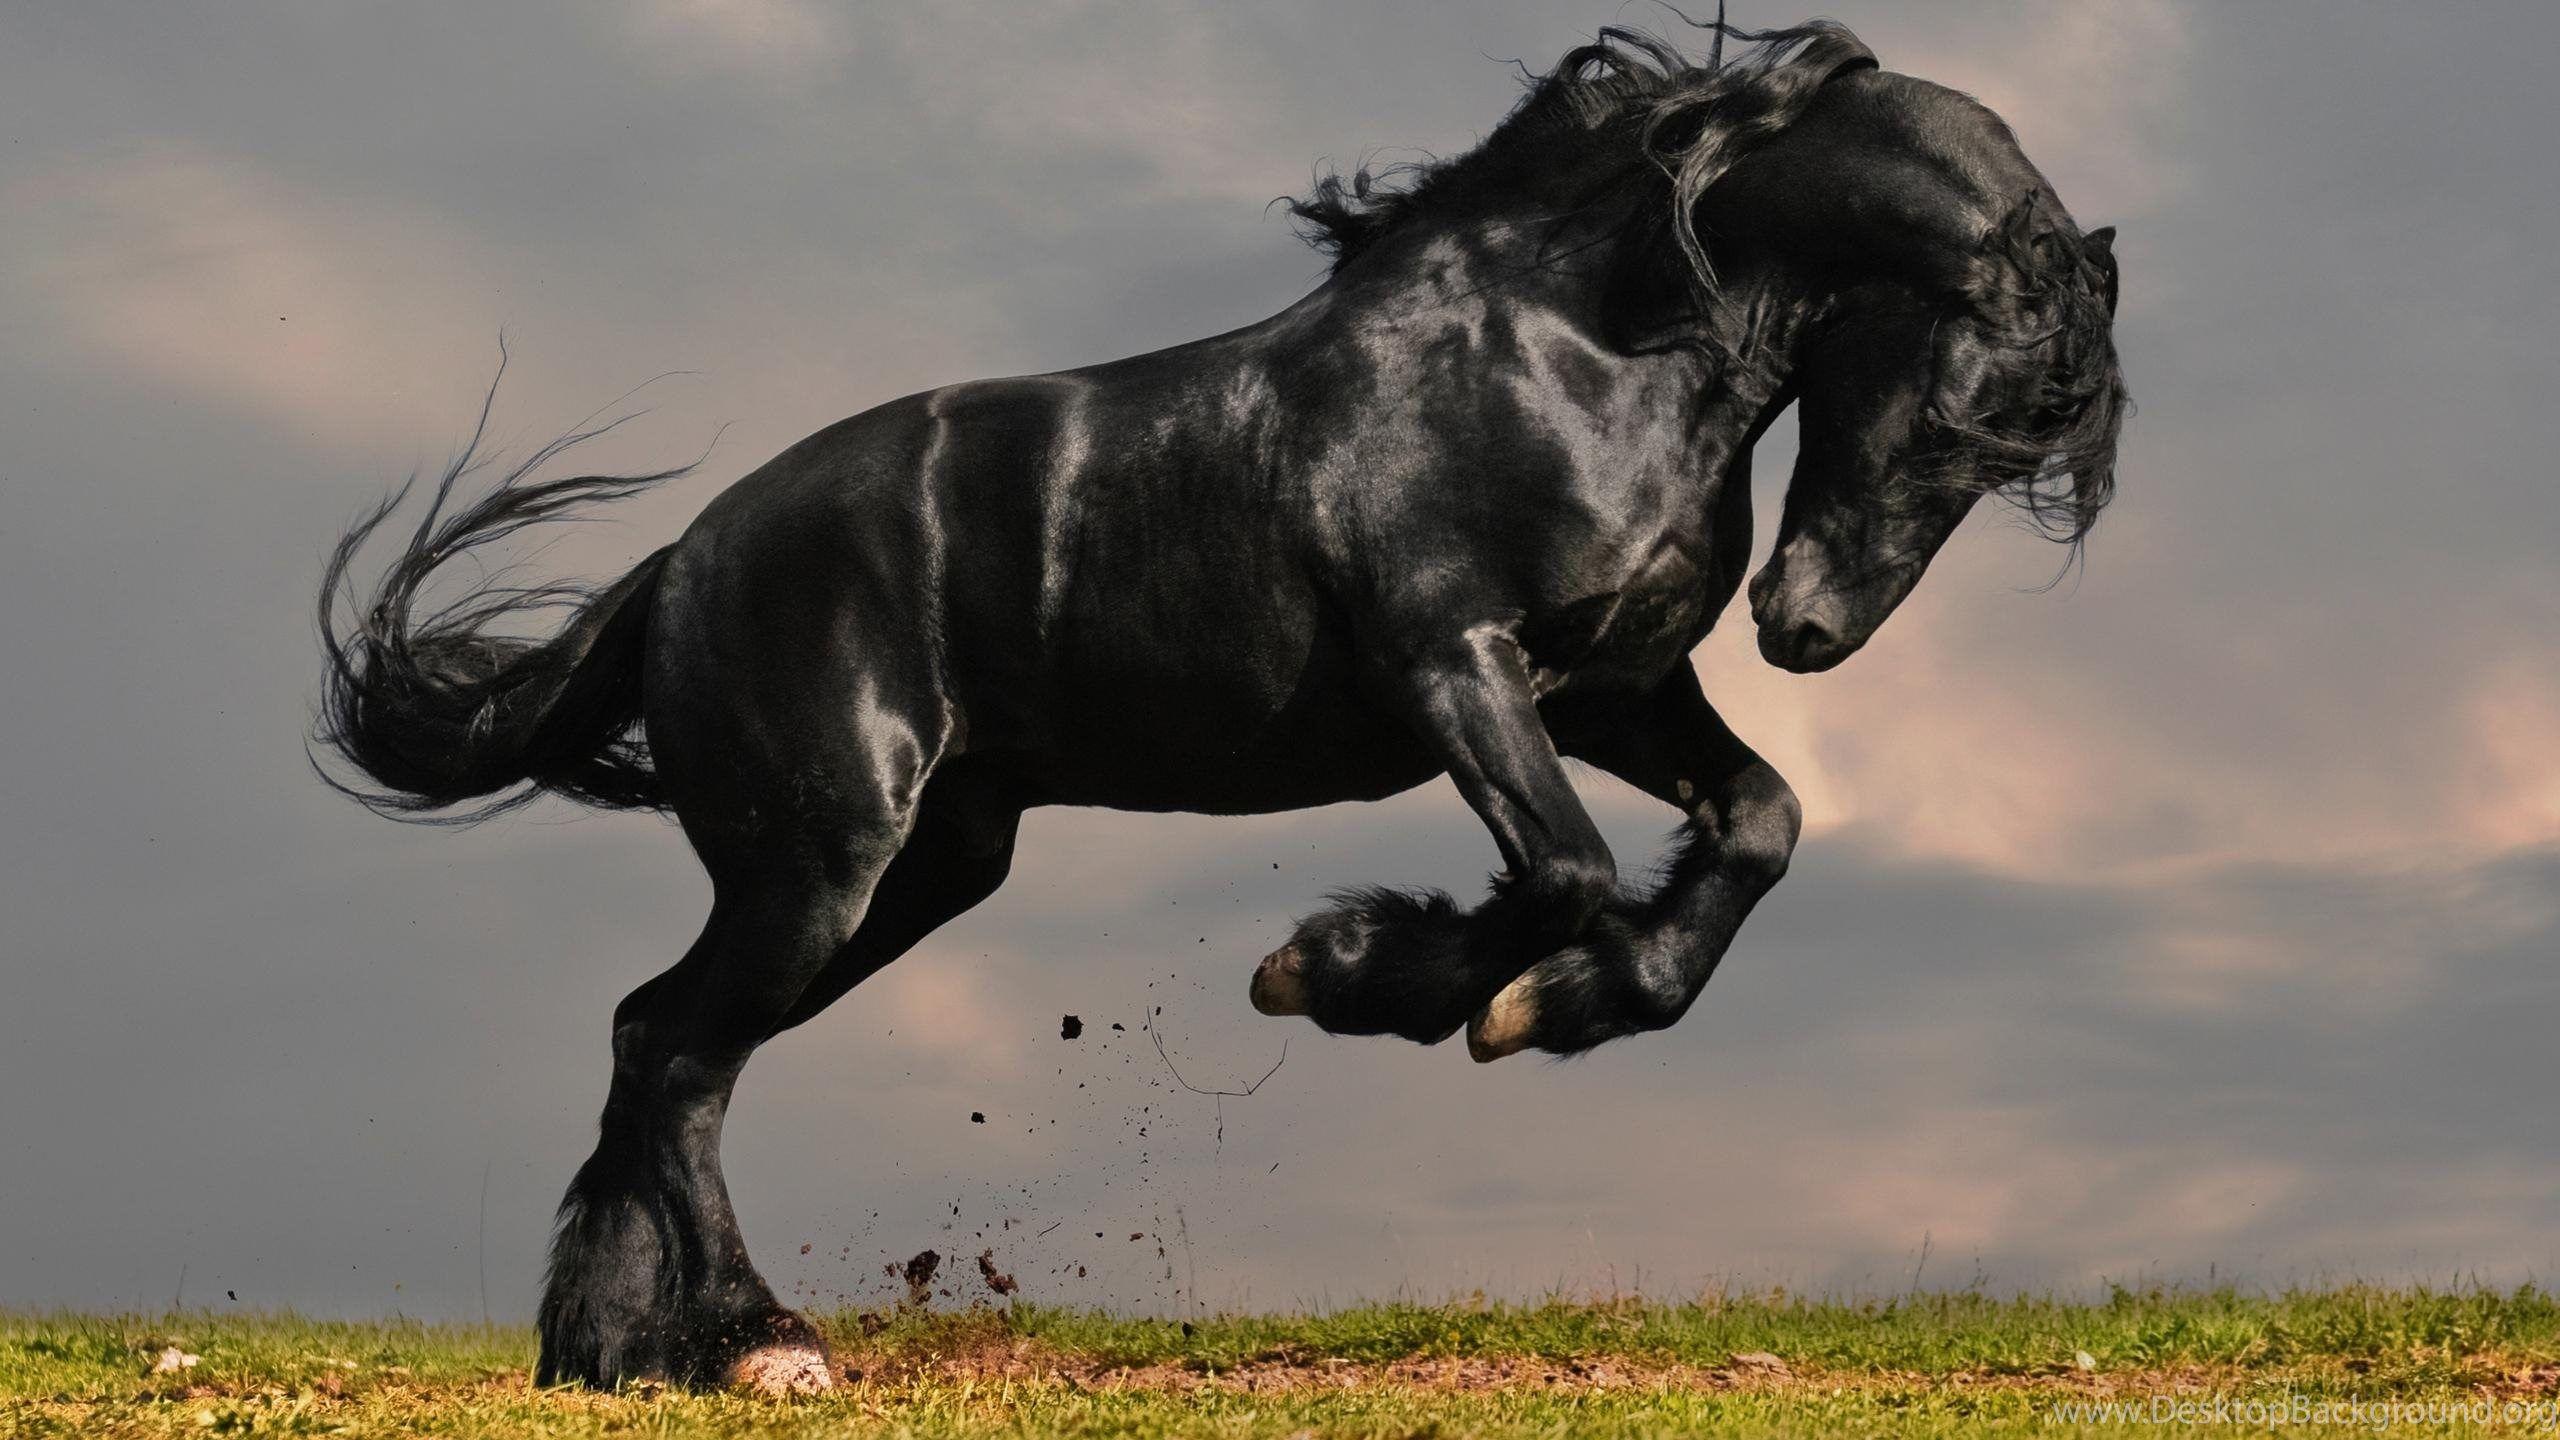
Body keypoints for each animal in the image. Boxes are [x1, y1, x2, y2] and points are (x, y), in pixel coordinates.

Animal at [314, 19, 2125, 1394]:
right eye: (1964, 412)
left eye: (2025, 449)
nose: (1808, 629)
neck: (1583, 345)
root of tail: (682, 564)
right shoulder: (1455, 665)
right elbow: (1565, 872)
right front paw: (1359, 975)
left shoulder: (1614, 685)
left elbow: (1756, 826)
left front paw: (1560, 1003)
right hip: (819, 865)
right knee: (678, 1050)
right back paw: (757, 1343)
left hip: (918, 873)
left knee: (655, 1040)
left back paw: (618, 1351)